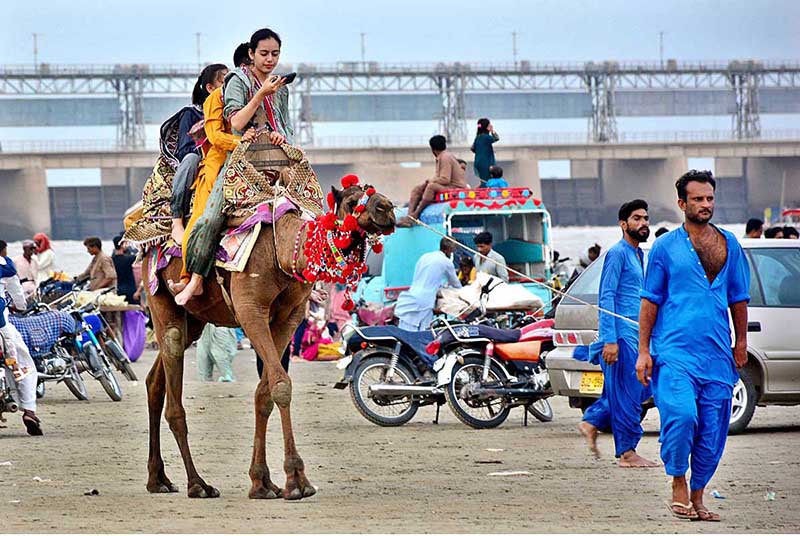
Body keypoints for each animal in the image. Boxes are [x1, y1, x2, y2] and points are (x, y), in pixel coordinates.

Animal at [143, 183, 396, 498]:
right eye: (352, 202)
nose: (387, 208)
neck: (283, 251)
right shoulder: (251, 310)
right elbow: (281, 385)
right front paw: (296, 480)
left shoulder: (290, 317)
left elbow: (265, 392)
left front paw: (262, 482)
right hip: (159, 295)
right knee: (173, 369)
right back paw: (197, 483)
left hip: (196, 319)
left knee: (155, 382)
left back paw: (158, 479)